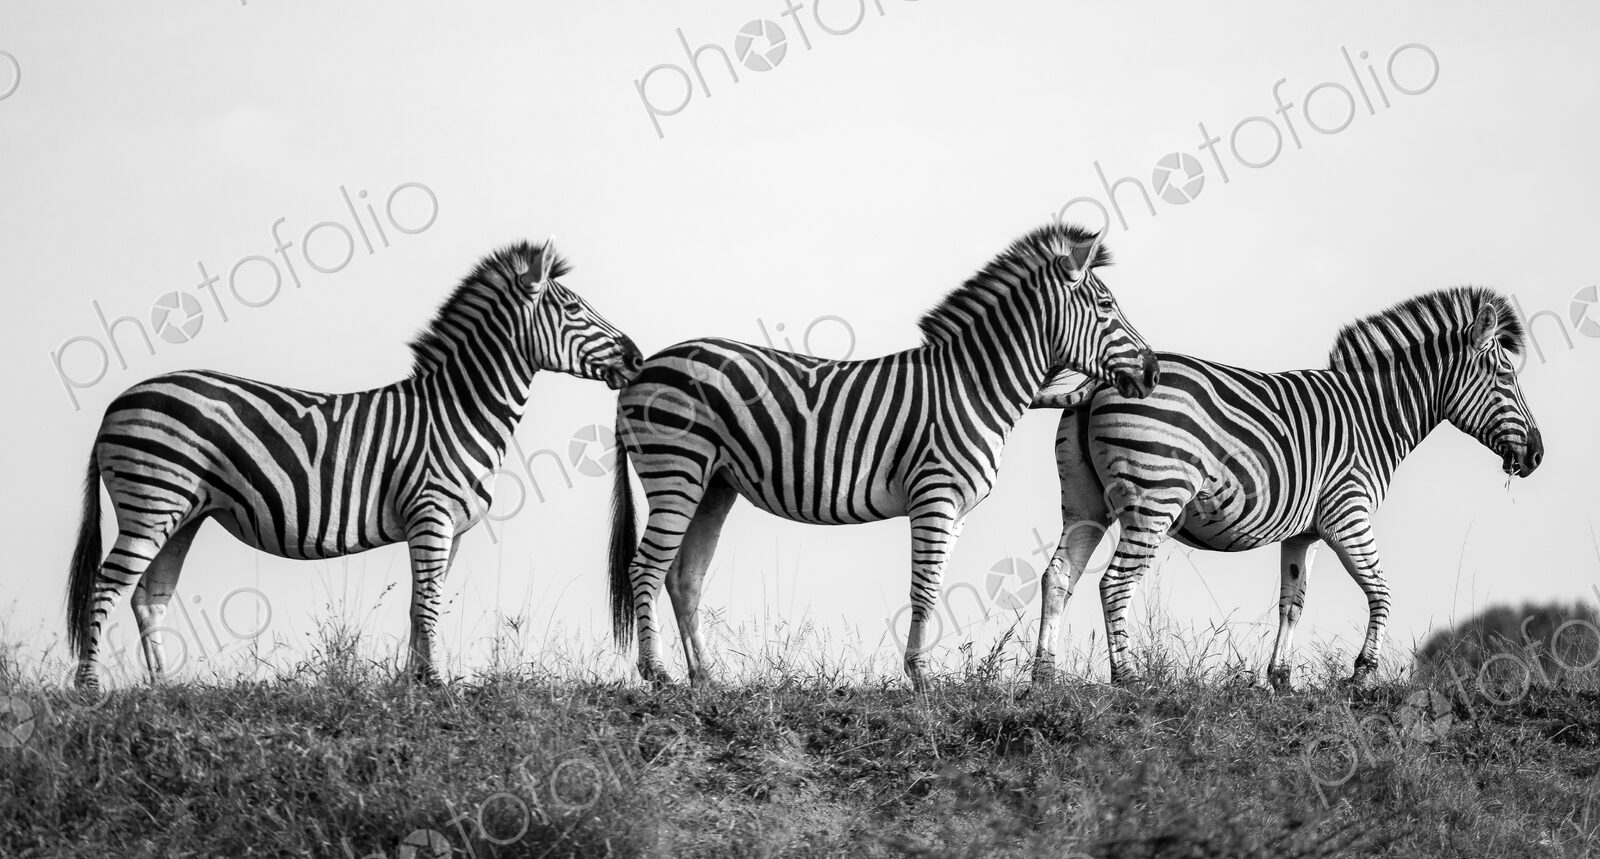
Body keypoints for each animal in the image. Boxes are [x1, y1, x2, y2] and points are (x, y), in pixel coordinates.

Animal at [66, 240, 643, 692]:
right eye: (574, 309)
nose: (637, 357)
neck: (457, 409)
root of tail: (116, 402)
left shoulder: (449, 528)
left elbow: (421, 605)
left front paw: (415, 683)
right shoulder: (430, 514)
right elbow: (428, 603)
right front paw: (436, 684)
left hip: (183, 512)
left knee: (149, 596)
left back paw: (163, 689)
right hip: (152, 499)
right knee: (106, 585)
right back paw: (89, 688)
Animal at [606, 223, 1161, 691]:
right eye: (1106, 305)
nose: (1154, 372)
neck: (975, 387)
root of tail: (643, 368)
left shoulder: (956, 510)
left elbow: (935, 586)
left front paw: (921, 674)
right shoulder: (935, 495)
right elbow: (925, 589)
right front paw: (921, 680)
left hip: (714, 483)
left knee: (683, 577)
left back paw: (706, 679)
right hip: (676, 469)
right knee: (645, 567)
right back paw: (658, 675)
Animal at [1028, 286, 1543, 691]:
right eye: (1506, 376)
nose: (1537, 456)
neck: (1374, 415)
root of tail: (1101, 381)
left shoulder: (1305, 532)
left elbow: (1291, 603)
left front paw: (1280, 680)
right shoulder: (1347, 513)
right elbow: (1382, 590)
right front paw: (1362, 673)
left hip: (1083, 502)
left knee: (1058, 576)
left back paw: (1044, 677)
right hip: (1154, 497)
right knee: (1115, 583)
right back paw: (1128, 678)